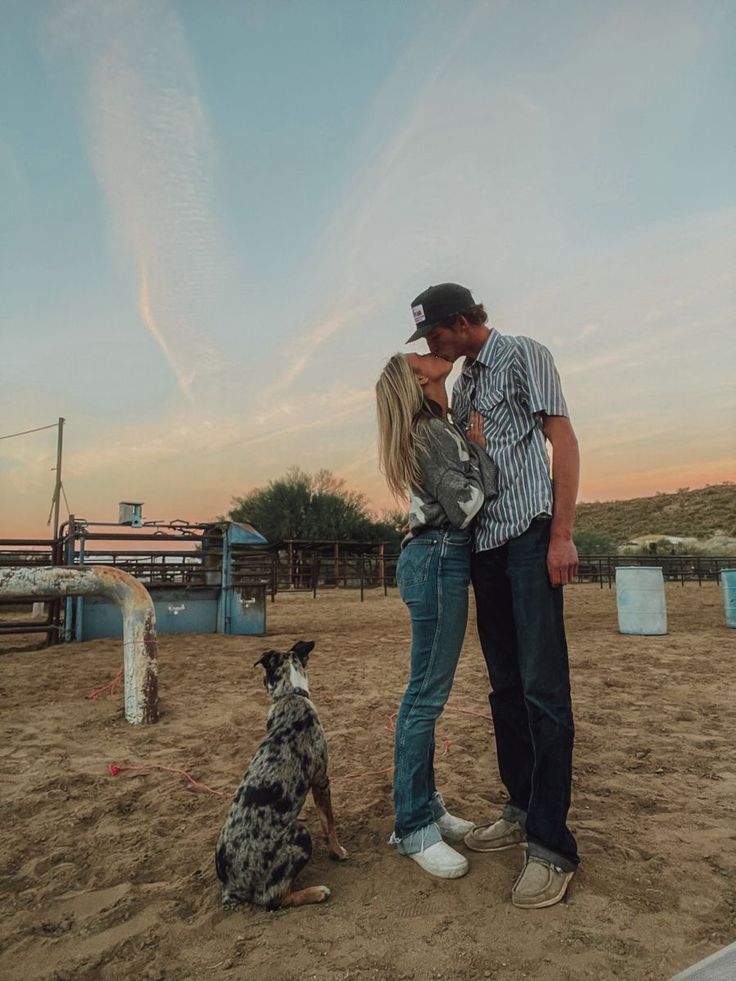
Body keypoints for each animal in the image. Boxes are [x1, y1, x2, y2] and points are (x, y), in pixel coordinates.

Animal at [216, 640, 348, 908]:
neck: (292, 694)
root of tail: (231, 887)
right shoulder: (322, 781)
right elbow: (328, 823)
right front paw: (337, 852)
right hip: (300, 835)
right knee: (273, 899)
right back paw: (316, 892)